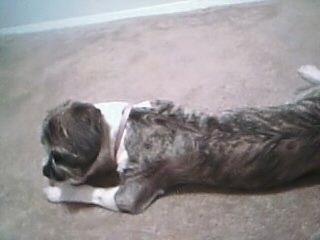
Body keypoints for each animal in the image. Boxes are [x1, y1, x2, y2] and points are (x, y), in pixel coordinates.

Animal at [41, 64, 320, 214]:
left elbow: (92, 193)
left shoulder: (128, 195)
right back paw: (307, 70)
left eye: (57, 157)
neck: (123, 125)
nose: (44, 170)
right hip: (303, 100)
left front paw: (56, 192)